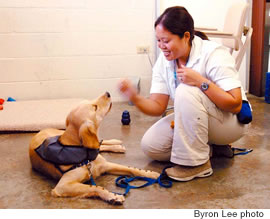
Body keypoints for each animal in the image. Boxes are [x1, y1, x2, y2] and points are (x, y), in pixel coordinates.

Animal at [29, 91, 160, 204]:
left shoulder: (106, 164)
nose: (108, 93)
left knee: (101, 144)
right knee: (99, 145)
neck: (86, 155)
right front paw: (112, 196)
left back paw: (117, 144)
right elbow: (95, 187)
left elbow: (131, 169)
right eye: (95, 107)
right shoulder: (62, 186)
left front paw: (152, 174)